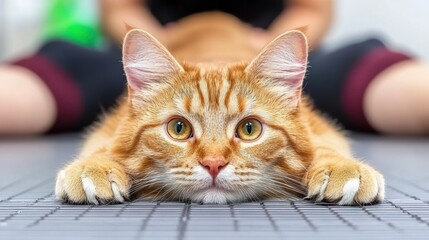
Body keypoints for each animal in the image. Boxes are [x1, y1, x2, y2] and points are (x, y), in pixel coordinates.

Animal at [54, 12, 384, 204]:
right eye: (179, 128)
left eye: (249, 129)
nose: (214, 164)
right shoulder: (110, 125)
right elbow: (103, 146)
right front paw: (94, 166)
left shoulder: (320, 126)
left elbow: (326, 146)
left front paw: (342, 168)